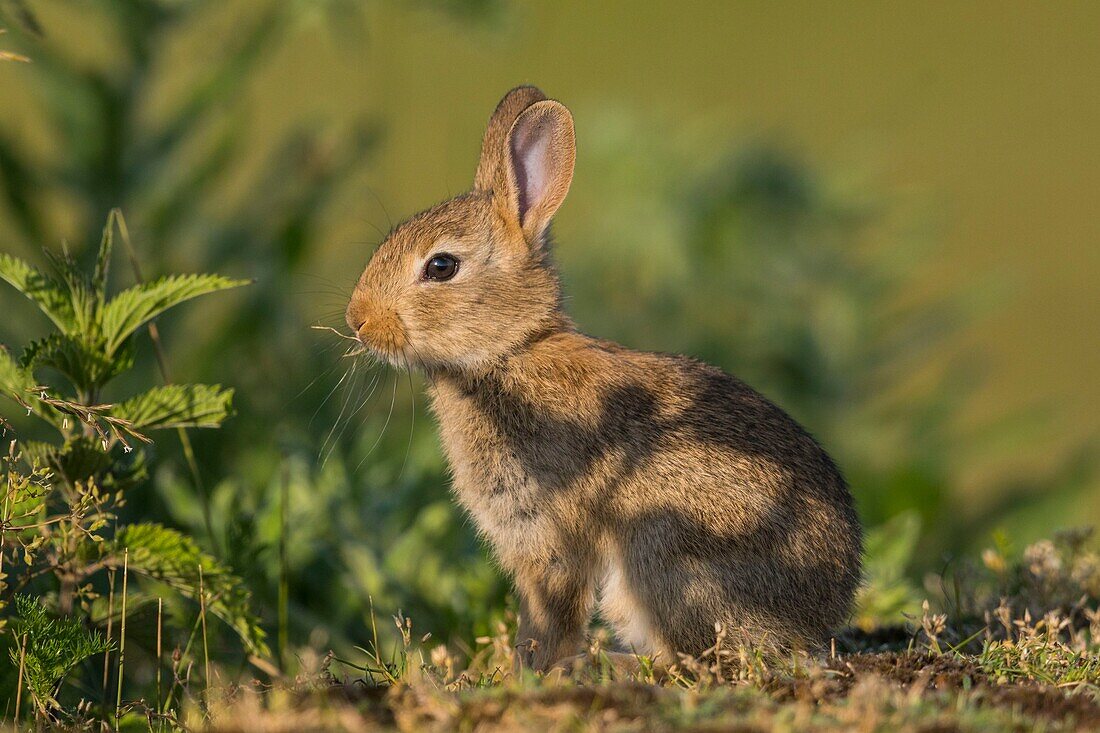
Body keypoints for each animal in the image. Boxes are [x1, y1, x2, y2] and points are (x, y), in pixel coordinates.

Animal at [347, 84, 862, 669]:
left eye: (441, 267)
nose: (357, 319)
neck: (509, 354)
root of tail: (814, 621)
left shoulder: (551, 534)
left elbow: (553, 612)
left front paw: (533, 670)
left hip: (663, 553)